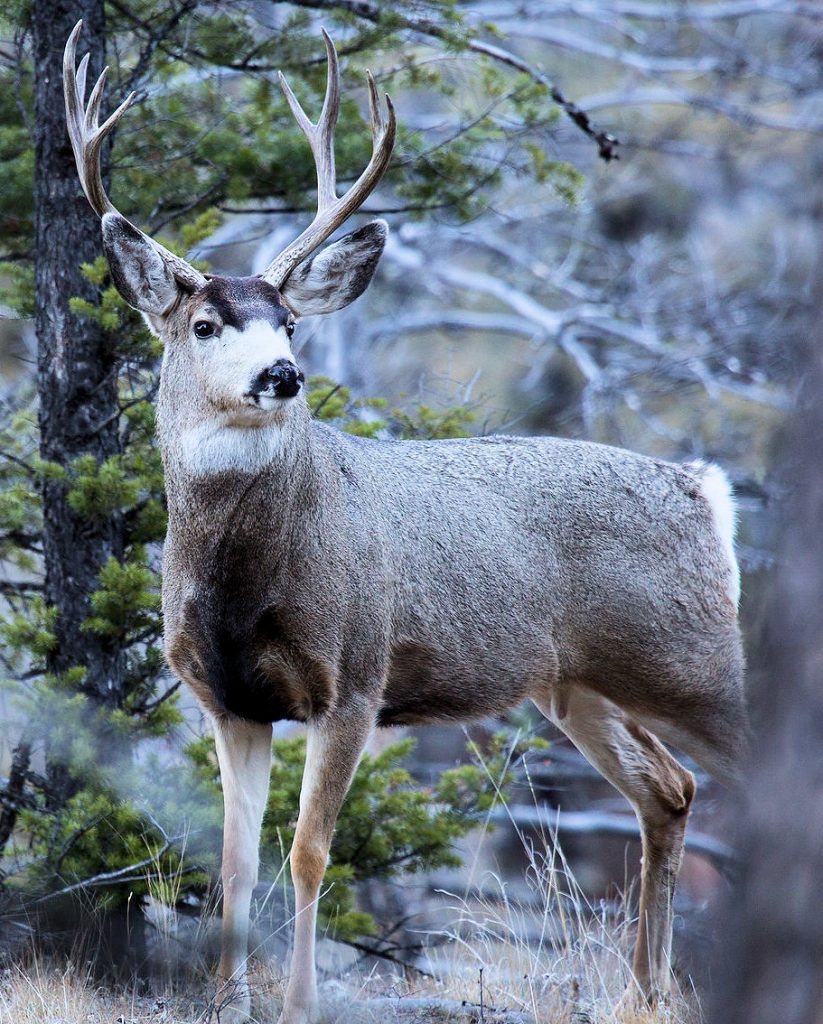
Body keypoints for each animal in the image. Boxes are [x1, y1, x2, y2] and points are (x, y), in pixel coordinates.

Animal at [64, 22, 745, 1024]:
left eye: (289, 323)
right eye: (203, 323)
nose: (282, 374)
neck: (243, 584)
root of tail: (706, 493)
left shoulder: (354, 674)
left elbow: (309, 852)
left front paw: (299, 1002)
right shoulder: (228, 698)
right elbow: (231, 862)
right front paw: (226, 999)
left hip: (694, 662)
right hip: (578, 685)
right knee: (668, 789)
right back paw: (641, 993)